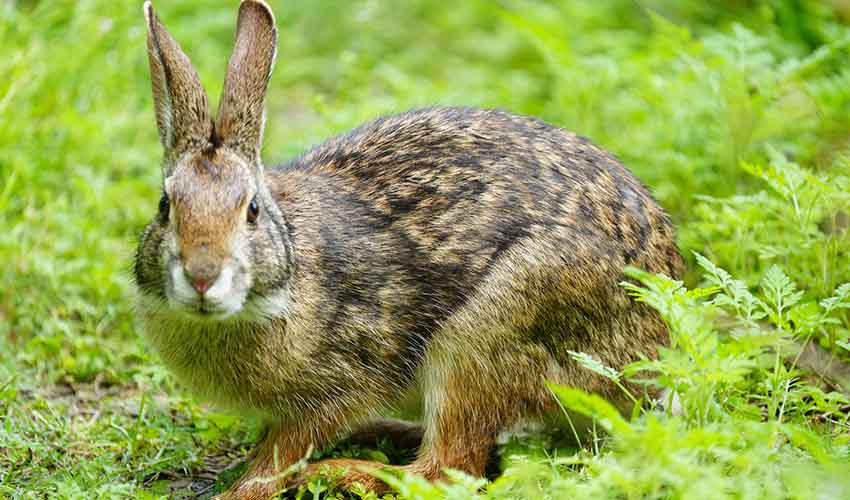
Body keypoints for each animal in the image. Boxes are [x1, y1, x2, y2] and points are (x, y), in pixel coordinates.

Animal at [134, 1, 684, 498]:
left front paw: (242, 489)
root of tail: (652, 355)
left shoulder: (344, 377)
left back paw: (340, 472)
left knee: (448, 467)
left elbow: (283, 452)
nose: (202, 276)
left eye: (250, 210)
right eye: (165, 206)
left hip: (485, 336)